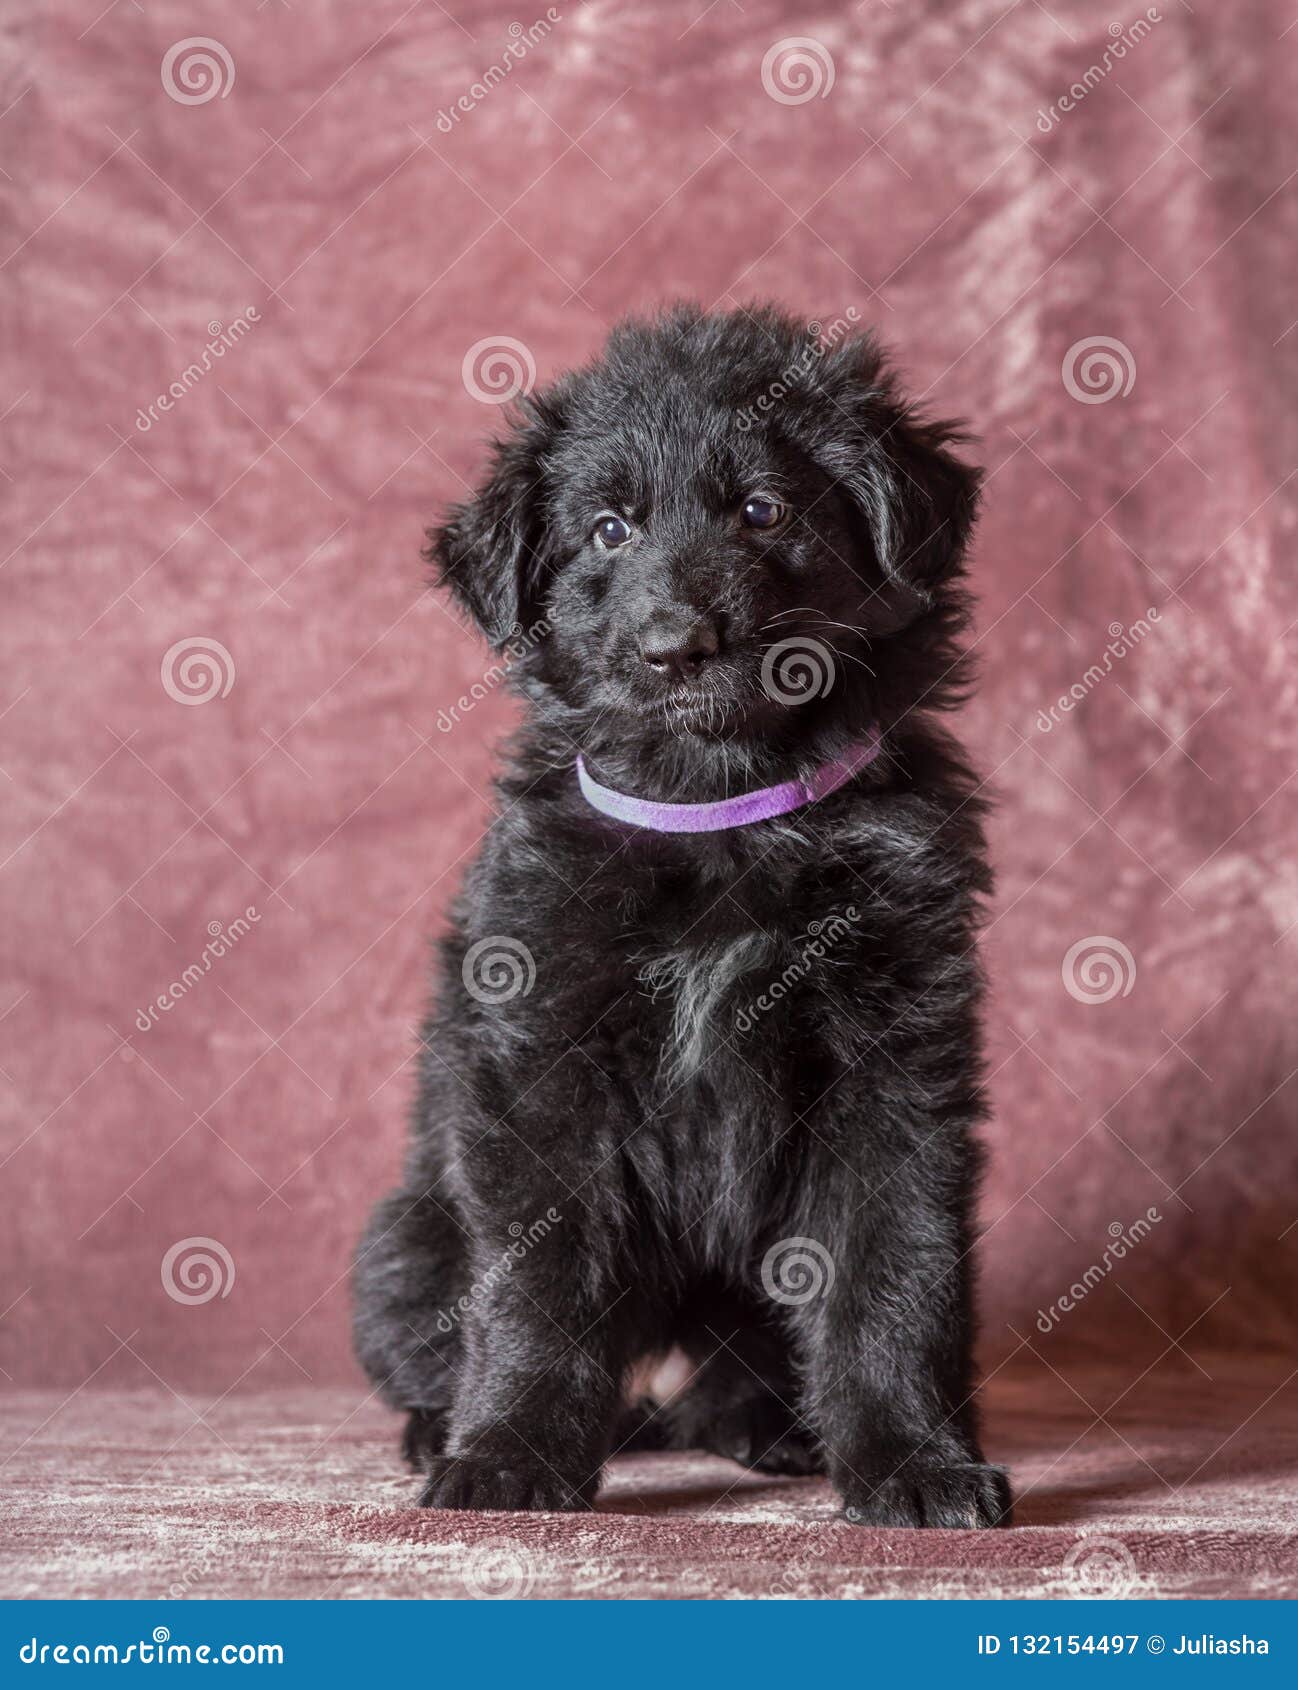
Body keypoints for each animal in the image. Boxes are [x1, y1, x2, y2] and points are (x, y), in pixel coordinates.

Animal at [354, 304, 1014, 1534]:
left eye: (763, 510)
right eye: (607, 530)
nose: (675, 646)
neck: (721, 813)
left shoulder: (896, 1065)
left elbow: (892, 1273)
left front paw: (914, 1462)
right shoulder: (542, 1064)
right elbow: (538, 1282)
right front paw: (507, 1452)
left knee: (729, 1376)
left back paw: (776, 1427)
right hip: (401, 1245)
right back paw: (442, 1426)